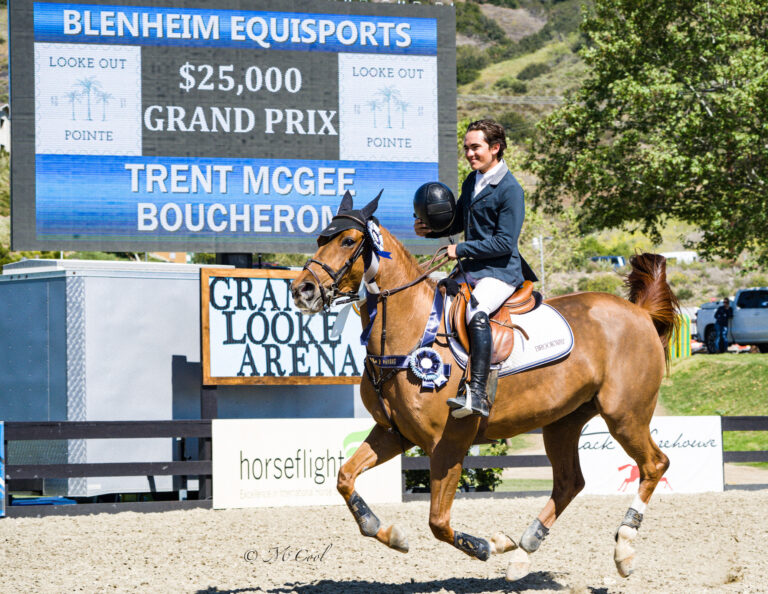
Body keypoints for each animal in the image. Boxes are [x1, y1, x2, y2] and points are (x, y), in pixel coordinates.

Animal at [290, 194, 680, 580]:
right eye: (320, 239)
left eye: (348, 241)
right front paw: (388, 532)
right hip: (563, 422)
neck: (410, 330)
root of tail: (639, 313)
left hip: (625, 416)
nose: (301, 290)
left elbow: (438, 522)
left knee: (654, 464)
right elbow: (344, 477)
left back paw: (623, 547)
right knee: (570, 482)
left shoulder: (447, 443)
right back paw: (524, 552)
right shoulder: (393, 432)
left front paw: (488, 546)